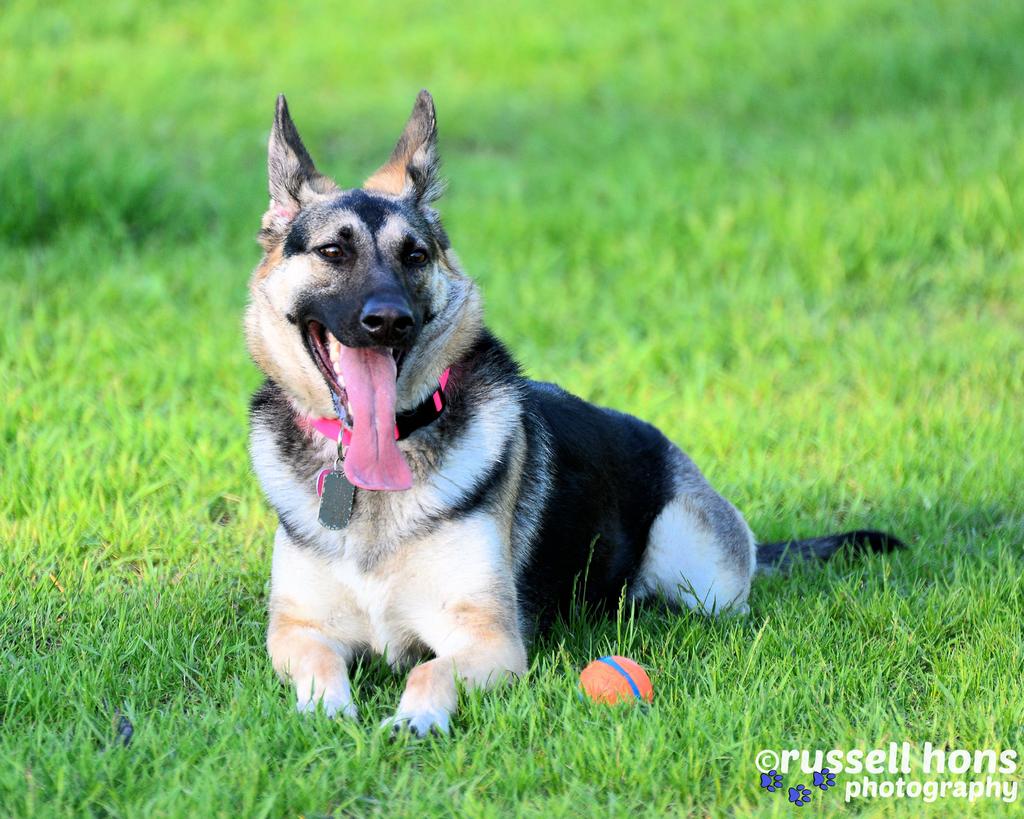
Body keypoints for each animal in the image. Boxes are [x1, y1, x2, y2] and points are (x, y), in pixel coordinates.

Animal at [245, 90, 902, 735]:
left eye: (415, 256)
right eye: (333, 251)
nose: (390, 320)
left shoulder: (491, 639)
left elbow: (428, 671)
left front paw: (415, 719)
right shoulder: (297, 631)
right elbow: (321, 665)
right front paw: (326, 712)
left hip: (696, 568)